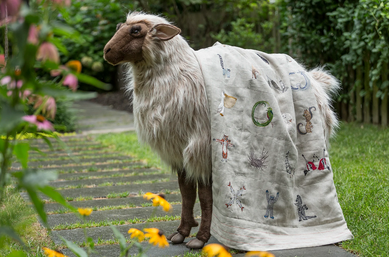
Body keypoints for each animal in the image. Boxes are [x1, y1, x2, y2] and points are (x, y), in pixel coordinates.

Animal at [102, 11, 336, 248]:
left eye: (136, 31)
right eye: (120, 27)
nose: (107, 51)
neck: (175, 78)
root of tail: (314, 79)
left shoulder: (203, 150)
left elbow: (206, 196)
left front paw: (200, 238)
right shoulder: (179, 150)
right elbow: (186, 192)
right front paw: (181, 232)